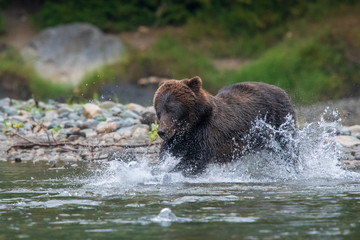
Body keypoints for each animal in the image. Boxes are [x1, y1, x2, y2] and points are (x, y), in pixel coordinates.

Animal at [153, 77, 296, 176]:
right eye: (159, 111)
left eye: (172, 110)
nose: (162, 131)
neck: (191, 127)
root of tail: (281, 90)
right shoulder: (175, 142)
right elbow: (166, 156)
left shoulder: (207, 134)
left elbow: (193, 160)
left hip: (279, 121)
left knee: (288, 148)